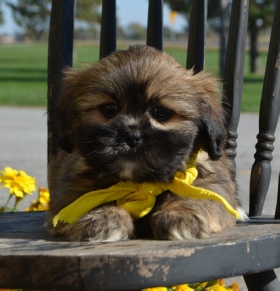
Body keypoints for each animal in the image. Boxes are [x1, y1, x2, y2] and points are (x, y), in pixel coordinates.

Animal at [47, 45, 242, 242]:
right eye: (109, 109)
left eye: (161, 112)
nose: (132, 136)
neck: (139, 184)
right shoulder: (69, 188)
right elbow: (87, 199)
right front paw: (103, 217)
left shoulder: (209, 181)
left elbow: (196, 197)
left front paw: (181, 215)